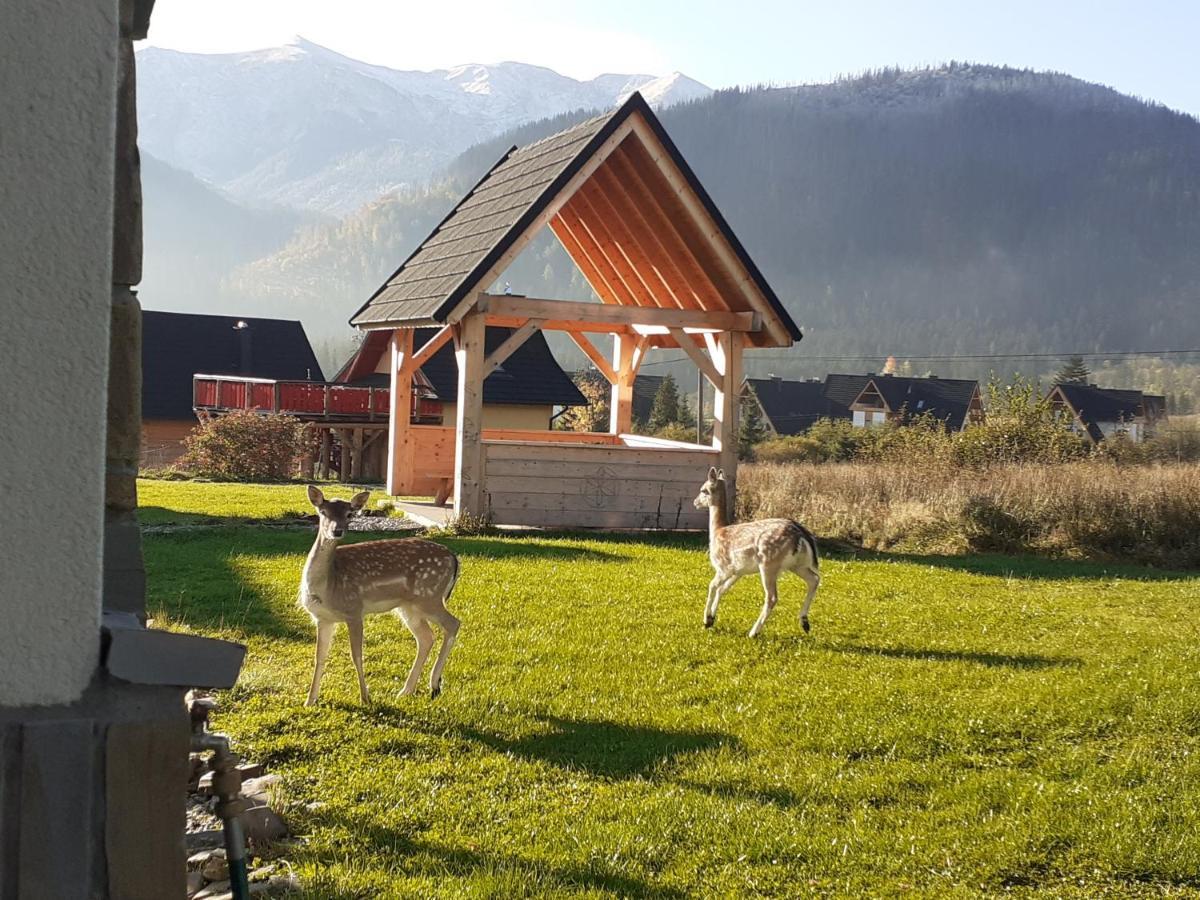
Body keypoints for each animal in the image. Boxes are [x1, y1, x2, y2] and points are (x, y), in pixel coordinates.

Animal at [302, 487, 460, 705]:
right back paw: (406, 691)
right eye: (323, 512)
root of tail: (454, 558)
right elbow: (319, 657)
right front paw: (310, 700)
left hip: (430, 597)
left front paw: (365, 698)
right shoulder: (322, 618)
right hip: (409, 607)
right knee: (426, 637)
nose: (337, 531)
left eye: (349, 514)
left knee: (453, 624)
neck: (328, 586)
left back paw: (434, 684)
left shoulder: (354, 610)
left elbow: (356, 655)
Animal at [700, 468, 820, 638]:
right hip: (797, 564)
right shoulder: (738, 571)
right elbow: (722, 590)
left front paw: (706, 620)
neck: (718, 531)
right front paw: (712, 619)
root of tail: (802, 534)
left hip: (769, 563)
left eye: (703, 490)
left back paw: (753, 632)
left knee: (772, 597)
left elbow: (712, 586)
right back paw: (805, 622)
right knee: (814, 579)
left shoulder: (724, 566)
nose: (695, 502)